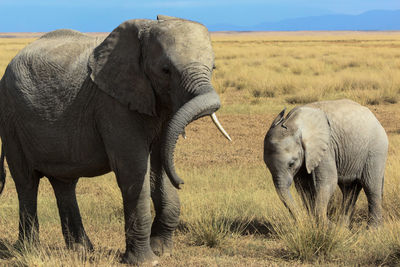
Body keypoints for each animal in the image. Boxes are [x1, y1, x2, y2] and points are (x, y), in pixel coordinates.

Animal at [0, 16, 230, 266]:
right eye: (165, 70)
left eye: (213, 67)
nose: (182, 181)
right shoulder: (113, 105)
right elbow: (134, 171)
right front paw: (146, 261)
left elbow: (159, 166)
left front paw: (162, 251)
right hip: (11, 120)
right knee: (26, 181)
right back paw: (28, 251)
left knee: (64, 183)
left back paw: (82, 251)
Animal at [262, 99, 388, 227]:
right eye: (267, 166)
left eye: (291, 164)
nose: (302, 221)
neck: (294, 123)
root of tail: (375, 118)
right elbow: (304, 186)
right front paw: (317, 224)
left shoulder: (326, 148)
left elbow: (328, 181)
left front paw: (326, 226)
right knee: (349, 189)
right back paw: (343, 228)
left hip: (376, 149)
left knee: (371, 185)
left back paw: (372, 229)